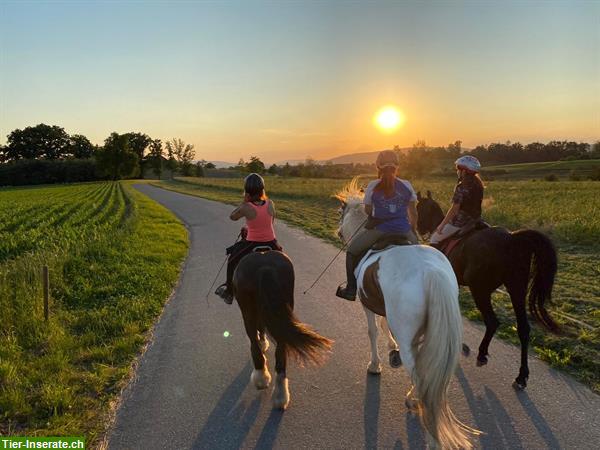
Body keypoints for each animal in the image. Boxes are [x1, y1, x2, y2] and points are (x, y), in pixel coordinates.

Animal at [233, 250, 332, 412]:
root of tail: (265, 267)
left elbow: (260, 330)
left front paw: (263, 344)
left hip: (247, 311)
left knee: (254, 343)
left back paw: (261, 378)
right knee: (281, 354)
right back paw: (280, 397)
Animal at [336, 179, 476, 450]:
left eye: (341, 213)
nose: (338, 232)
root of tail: (431, 272)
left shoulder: (367, 305)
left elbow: (373, 330)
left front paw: (375, 365)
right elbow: (384, 326)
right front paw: (392, 349)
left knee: (422, 377)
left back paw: (423, 417)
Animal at [414, 191, 560, 390]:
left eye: (418, 208)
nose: (419, 228)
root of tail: (511, 238)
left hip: (480, 290)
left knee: (492, 322)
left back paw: (482, 354)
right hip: (516, 289)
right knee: (523, 329)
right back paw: (521, 376)